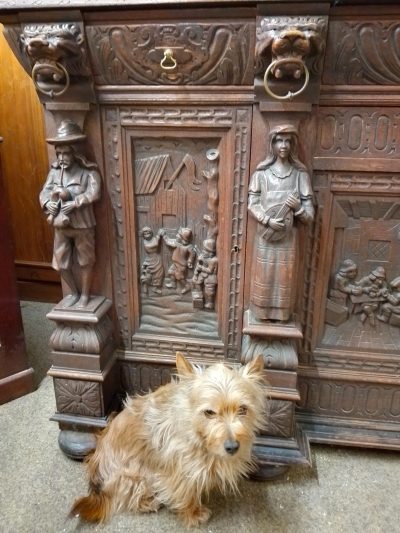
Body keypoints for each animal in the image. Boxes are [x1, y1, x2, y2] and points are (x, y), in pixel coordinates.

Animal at [71, 352, 266, 524]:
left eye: (243, 409)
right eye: (209, 412)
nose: (233, 447)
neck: (198, 436)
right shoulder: (177, 471)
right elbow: (186, 492)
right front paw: (193, 514)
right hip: (134, 475)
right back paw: (147, 503)